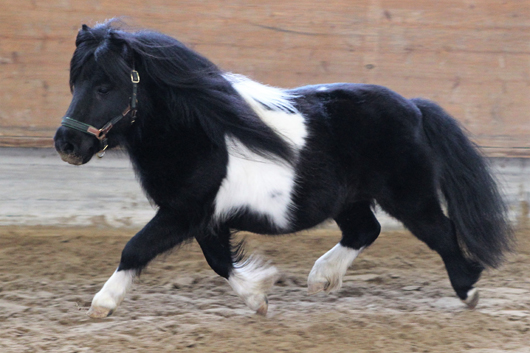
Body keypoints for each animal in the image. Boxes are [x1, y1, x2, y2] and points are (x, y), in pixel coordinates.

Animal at [54, 20, 512, 316]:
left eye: (105, 85)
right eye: (75, 83)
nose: (66, 144)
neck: (197, 131)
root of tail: (414, 108)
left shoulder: (184, 212)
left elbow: (136, 248)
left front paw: (102, 304)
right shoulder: (205, 218)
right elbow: (218, 261)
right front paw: (259, 298)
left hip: (409, 196)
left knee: (442, 233)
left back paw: (468, 290)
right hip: (350, 200)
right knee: (365, 230)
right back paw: (321, 278)